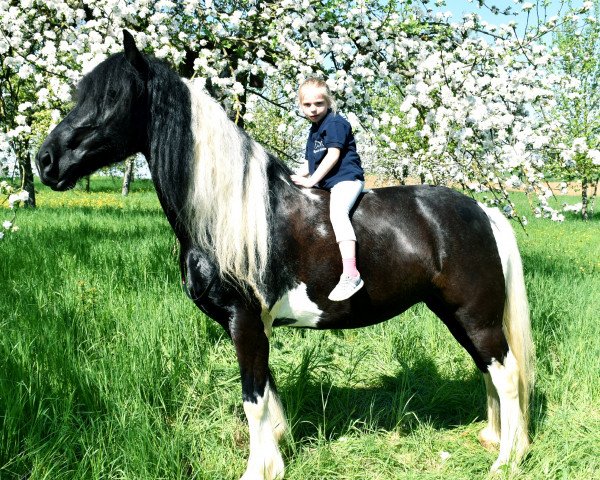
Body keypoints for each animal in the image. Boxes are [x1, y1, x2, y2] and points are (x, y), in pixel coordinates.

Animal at [36, 31, 536, 478]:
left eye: (113, 96)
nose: (45, 161)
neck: (227, 213)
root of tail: (482, 211)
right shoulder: (248, 325)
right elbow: (266, 395)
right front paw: (275, 452)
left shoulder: (245, 320)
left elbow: (253, 401)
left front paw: (259, 470)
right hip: (456, 314)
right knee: (489, 370)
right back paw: (494, 439)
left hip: (476, 316)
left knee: (507, 374)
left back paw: (507, 460)